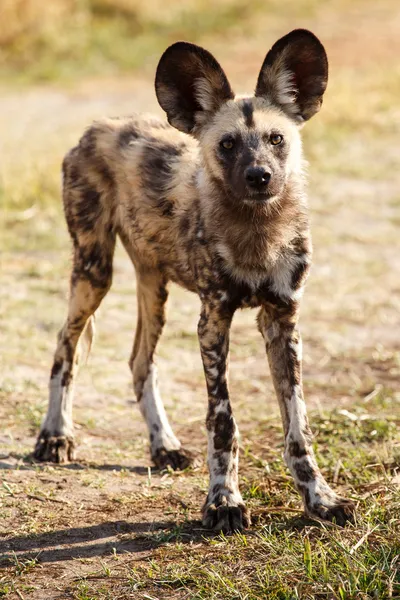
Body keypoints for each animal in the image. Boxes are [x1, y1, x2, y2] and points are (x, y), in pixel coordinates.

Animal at [33, 30, 354, 532]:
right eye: (227, 144)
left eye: (276, 139)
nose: (259, 176)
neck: (257, 234)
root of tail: (98, 126)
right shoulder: (213, 322)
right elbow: (223, 421)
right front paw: (224, 502)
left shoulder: (282, 320)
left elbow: (298, 426)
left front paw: (320, 499)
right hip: (93, 273)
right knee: (65, 349)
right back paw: (55, 436)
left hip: (153, 286)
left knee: (139, 362)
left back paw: (163, 445)